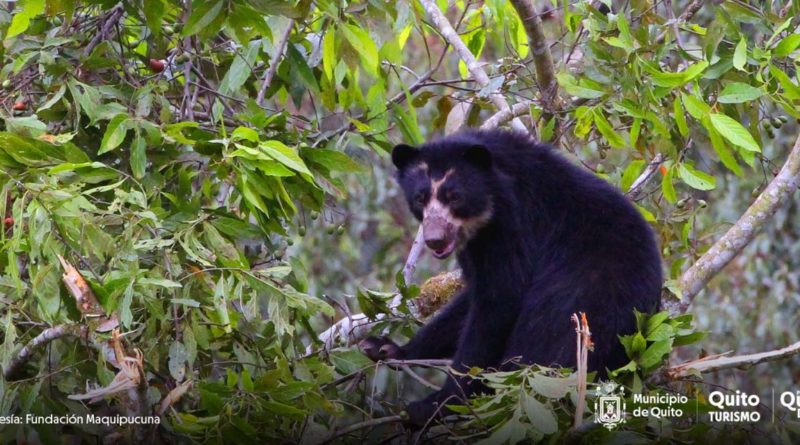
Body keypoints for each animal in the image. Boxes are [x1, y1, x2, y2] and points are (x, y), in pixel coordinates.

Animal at [362, 127, 664, 424]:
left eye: (455, 197)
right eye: (420, 198)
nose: (435, 240)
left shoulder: (512, 228)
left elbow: (499, 301)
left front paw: (437, 404)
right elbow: (468, 303)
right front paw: (386, 348)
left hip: (582, 299)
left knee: (544, 335)